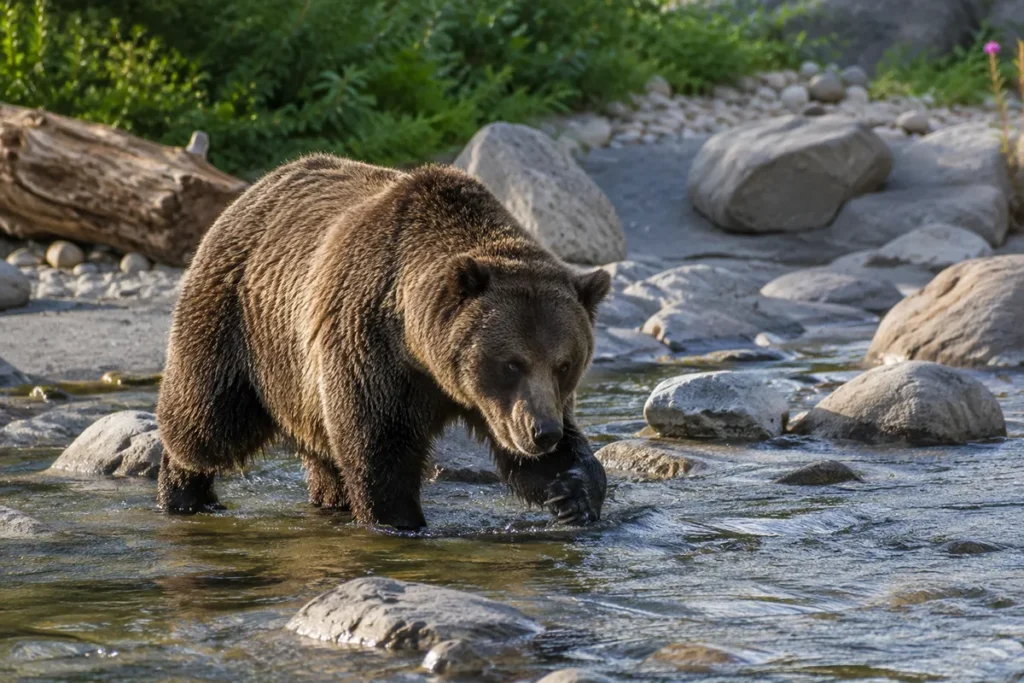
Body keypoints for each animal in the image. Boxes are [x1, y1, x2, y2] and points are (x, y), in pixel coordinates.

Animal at [156, 153, 612, 530]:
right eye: (512, 362)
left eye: (565, 363)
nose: (543, 432)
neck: (419, 347)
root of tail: (255, 188)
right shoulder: (370, 345)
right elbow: (379, 447)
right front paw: (398, 520)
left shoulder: (493, 400)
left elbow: (530, 457)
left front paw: (572, 489)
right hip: (239, 321)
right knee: (209, 422)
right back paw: (185, 494)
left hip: (300, 379)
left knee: (320, 444)